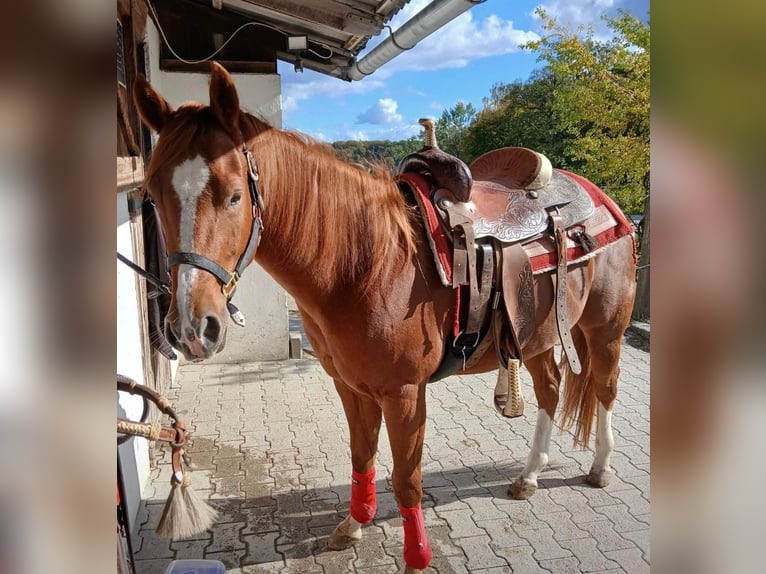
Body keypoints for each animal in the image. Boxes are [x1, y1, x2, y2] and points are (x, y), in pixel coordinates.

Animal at [133, 62, 636, 573]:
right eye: (151, 195)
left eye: (235, 196)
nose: (193, 329)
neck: (365, 263)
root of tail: (599, 197)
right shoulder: (351, 387)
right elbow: (362, 458)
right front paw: (354, 524)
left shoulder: (404, 394)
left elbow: (406, 480)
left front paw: (416, 556)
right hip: (535, 334)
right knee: (550, 390)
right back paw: (530, 475)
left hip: (604, 330)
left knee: (605, 388)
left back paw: (600, 467)